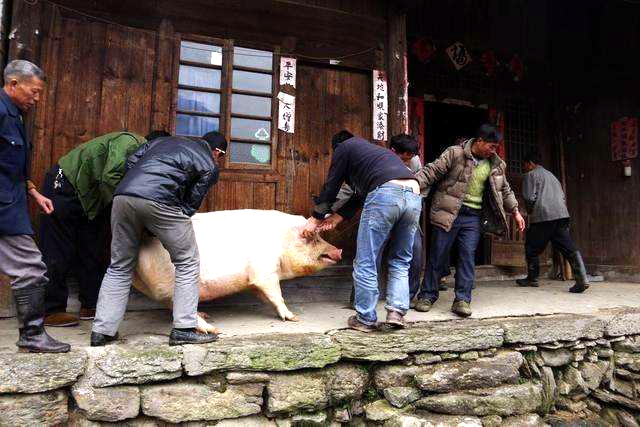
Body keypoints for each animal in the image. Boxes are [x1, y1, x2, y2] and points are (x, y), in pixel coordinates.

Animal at [130, 209, 340, 332]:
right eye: (313, 237)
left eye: (319, 236)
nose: (339, 250)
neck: (282, 241)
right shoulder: (265, 271)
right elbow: (277, 295)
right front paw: (294, 318)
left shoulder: (255, 280)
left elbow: (266, 296)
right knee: (176, 305)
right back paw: (212, 329)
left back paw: (205, 315)